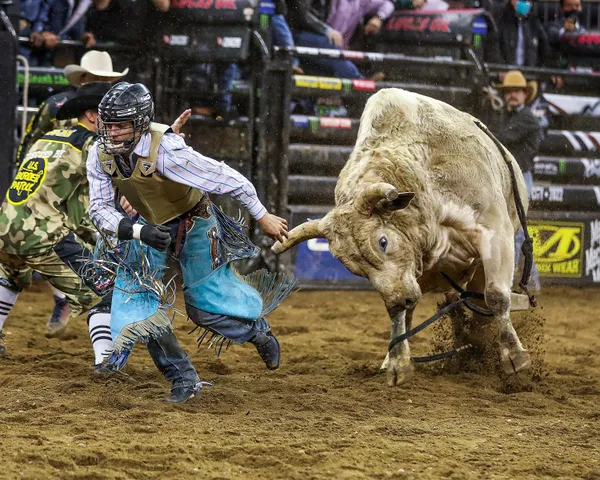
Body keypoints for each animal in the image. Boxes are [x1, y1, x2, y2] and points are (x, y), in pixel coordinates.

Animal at [274, 87, 532, 386]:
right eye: (353, 268)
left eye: (383, 241)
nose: (401, 298)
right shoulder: (409, 270)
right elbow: (400, 314)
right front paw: (398, 363)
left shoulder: (495, 231)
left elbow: (496, 296)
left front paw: (514, 356)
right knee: (450, 305)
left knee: (478, 302)